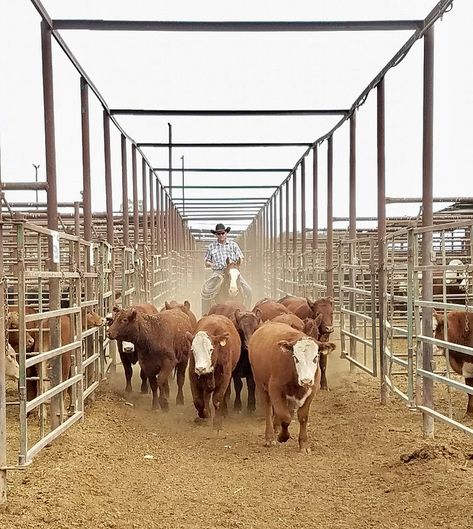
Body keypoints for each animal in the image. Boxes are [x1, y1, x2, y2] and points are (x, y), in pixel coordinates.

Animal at [247, 320, 336, 452]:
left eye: (316, 357)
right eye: (296, 358)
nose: (306, 380)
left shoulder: (312, 391)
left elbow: (302, 417)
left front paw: (304, 444)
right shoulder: (275, 389)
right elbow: (285, 417)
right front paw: (282, 437)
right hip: (260, 384)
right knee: (268, 409)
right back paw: (270, 437)